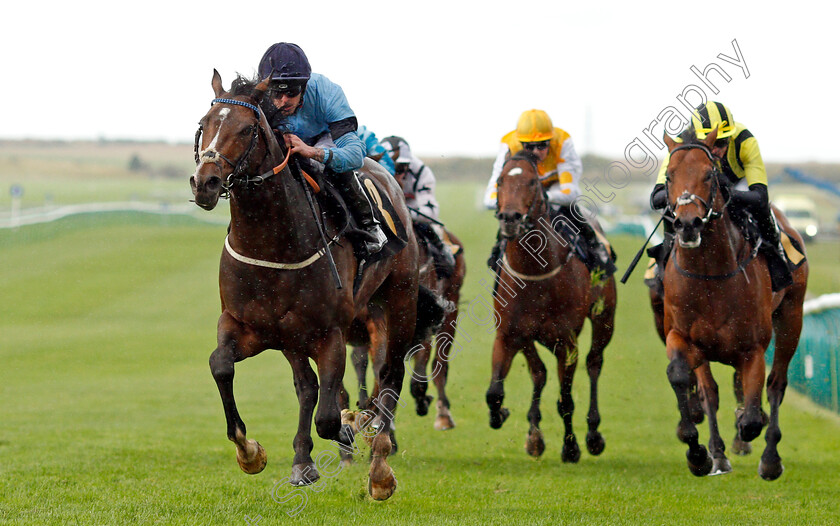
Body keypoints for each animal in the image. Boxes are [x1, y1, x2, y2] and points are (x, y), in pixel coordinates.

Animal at [189, 71, 434, 504]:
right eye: (205, 123)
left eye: (248, 128)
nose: (206, 182)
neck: (272, 242)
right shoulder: (247, 326)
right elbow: (221, 365)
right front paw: (250, 452)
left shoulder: (330, 333)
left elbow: (330, 417)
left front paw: (355, 430)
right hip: (294, 336)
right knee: (307, 387)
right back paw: (304, 461)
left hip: (399, 302)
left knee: (390, 374)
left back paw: (380, 463)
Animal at [486, 150, 616, 462]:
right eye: (500, 180)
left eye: (533, 182)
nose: (510, 218)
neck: (534, 275)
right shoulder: (508, 335)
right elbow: (494, 392)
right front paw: (503, 414)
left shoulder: (566, 342)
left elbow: (566, 399)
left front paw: (571, 447)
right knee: (539, 373)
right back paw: (534, 435)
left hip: (604, 318)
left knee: (594, 363)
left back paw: (593, 433)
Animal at [656, 129, 808, 482]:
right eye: (669, 176)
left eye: (709, 175)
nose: (687, 224)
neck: (710, 275)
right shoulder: (683, 337)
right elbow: (684, 377)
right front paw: (698, 452)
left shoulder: (752, 347)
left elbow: (752, 416)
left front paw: (747, 428)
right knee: (712, 391)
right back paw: (718, 454)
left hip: (791, 317)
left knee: (776, 384)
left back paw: (769, 459)